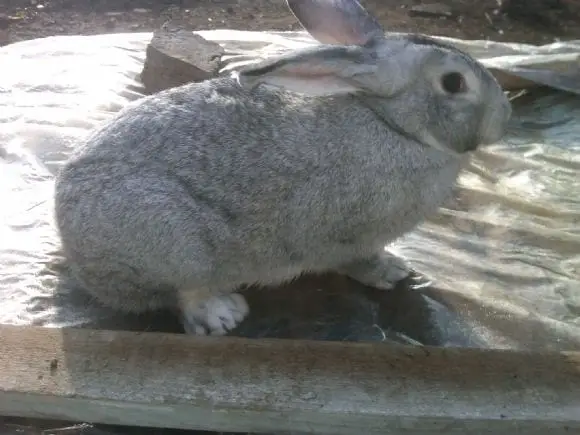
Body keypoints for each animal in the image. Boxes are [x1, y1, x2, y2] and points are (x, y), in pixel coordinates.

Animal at [52, 0, 510, 336]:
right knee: (183, 296)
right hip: (175, 245)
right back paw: (224, 314)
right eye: (454, 83)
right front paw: (389, 273)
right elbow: (357, 260)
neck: (392, 123)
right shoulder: (352, 235)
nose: (503, 118)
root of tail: (70, 240)